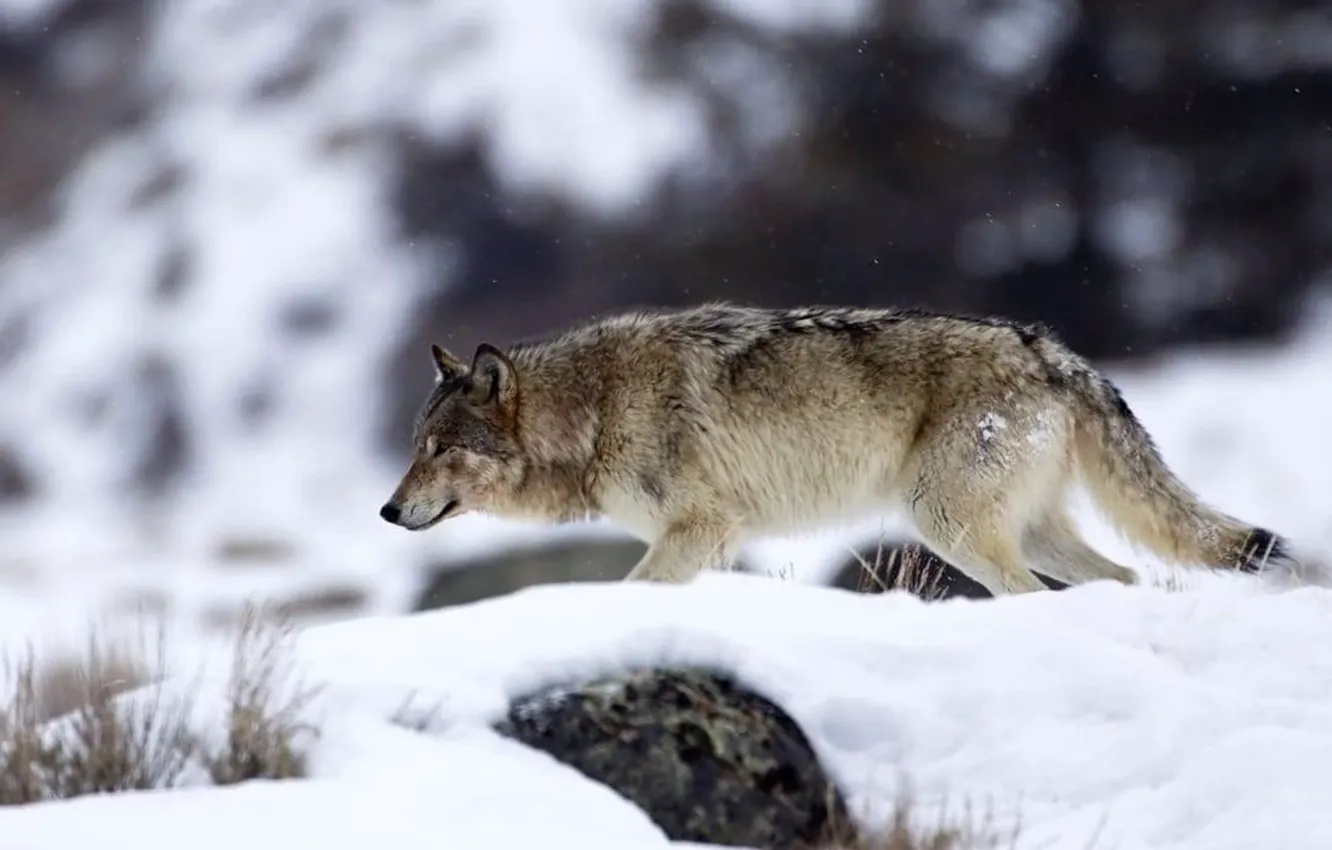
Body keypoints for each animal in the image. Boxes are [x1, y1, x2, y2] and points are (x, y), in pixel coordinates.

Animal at [379, 302, 1302, 595]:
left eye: (438, 448)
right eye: (414, 445)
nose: (388, 510)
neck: (595, 410)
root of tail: (1051, 349)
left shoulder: (699, 530)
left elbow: (629, 591)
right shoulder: (716, 544)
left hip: (948, 524)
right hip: (1029, 529)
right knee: (1127, 578)